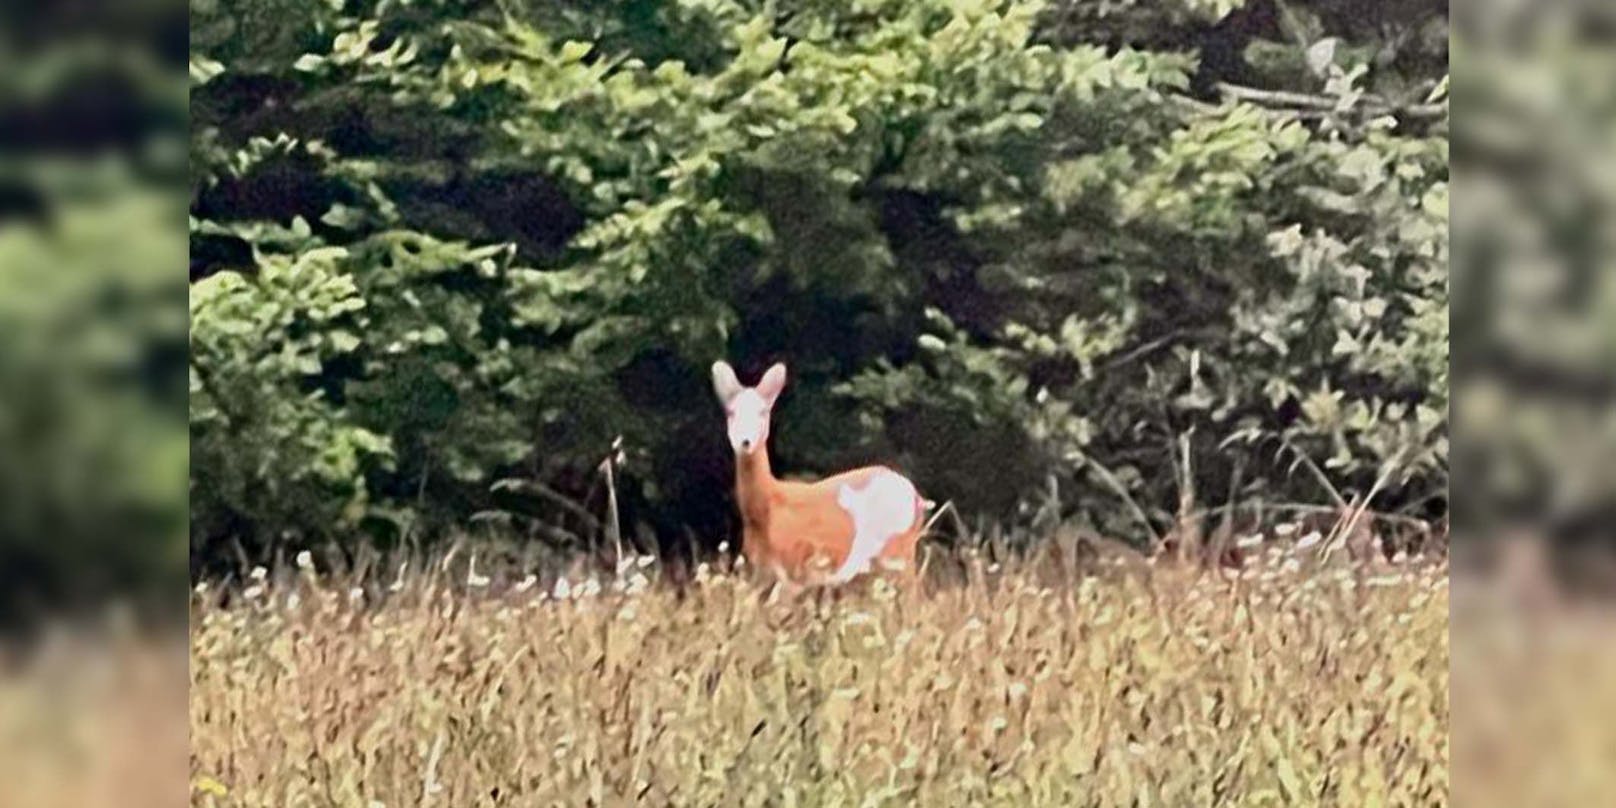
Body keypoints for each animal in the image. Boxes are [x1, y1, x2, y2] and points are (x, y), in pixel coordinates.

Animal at [714, 363, 930, 584]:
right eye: (731, 412)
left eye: (763, 411)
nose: (745, 441)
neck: (767, 507)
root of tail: (917, 498)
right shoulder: (760, 571)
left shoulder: (795, 570)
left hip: (897, 552)